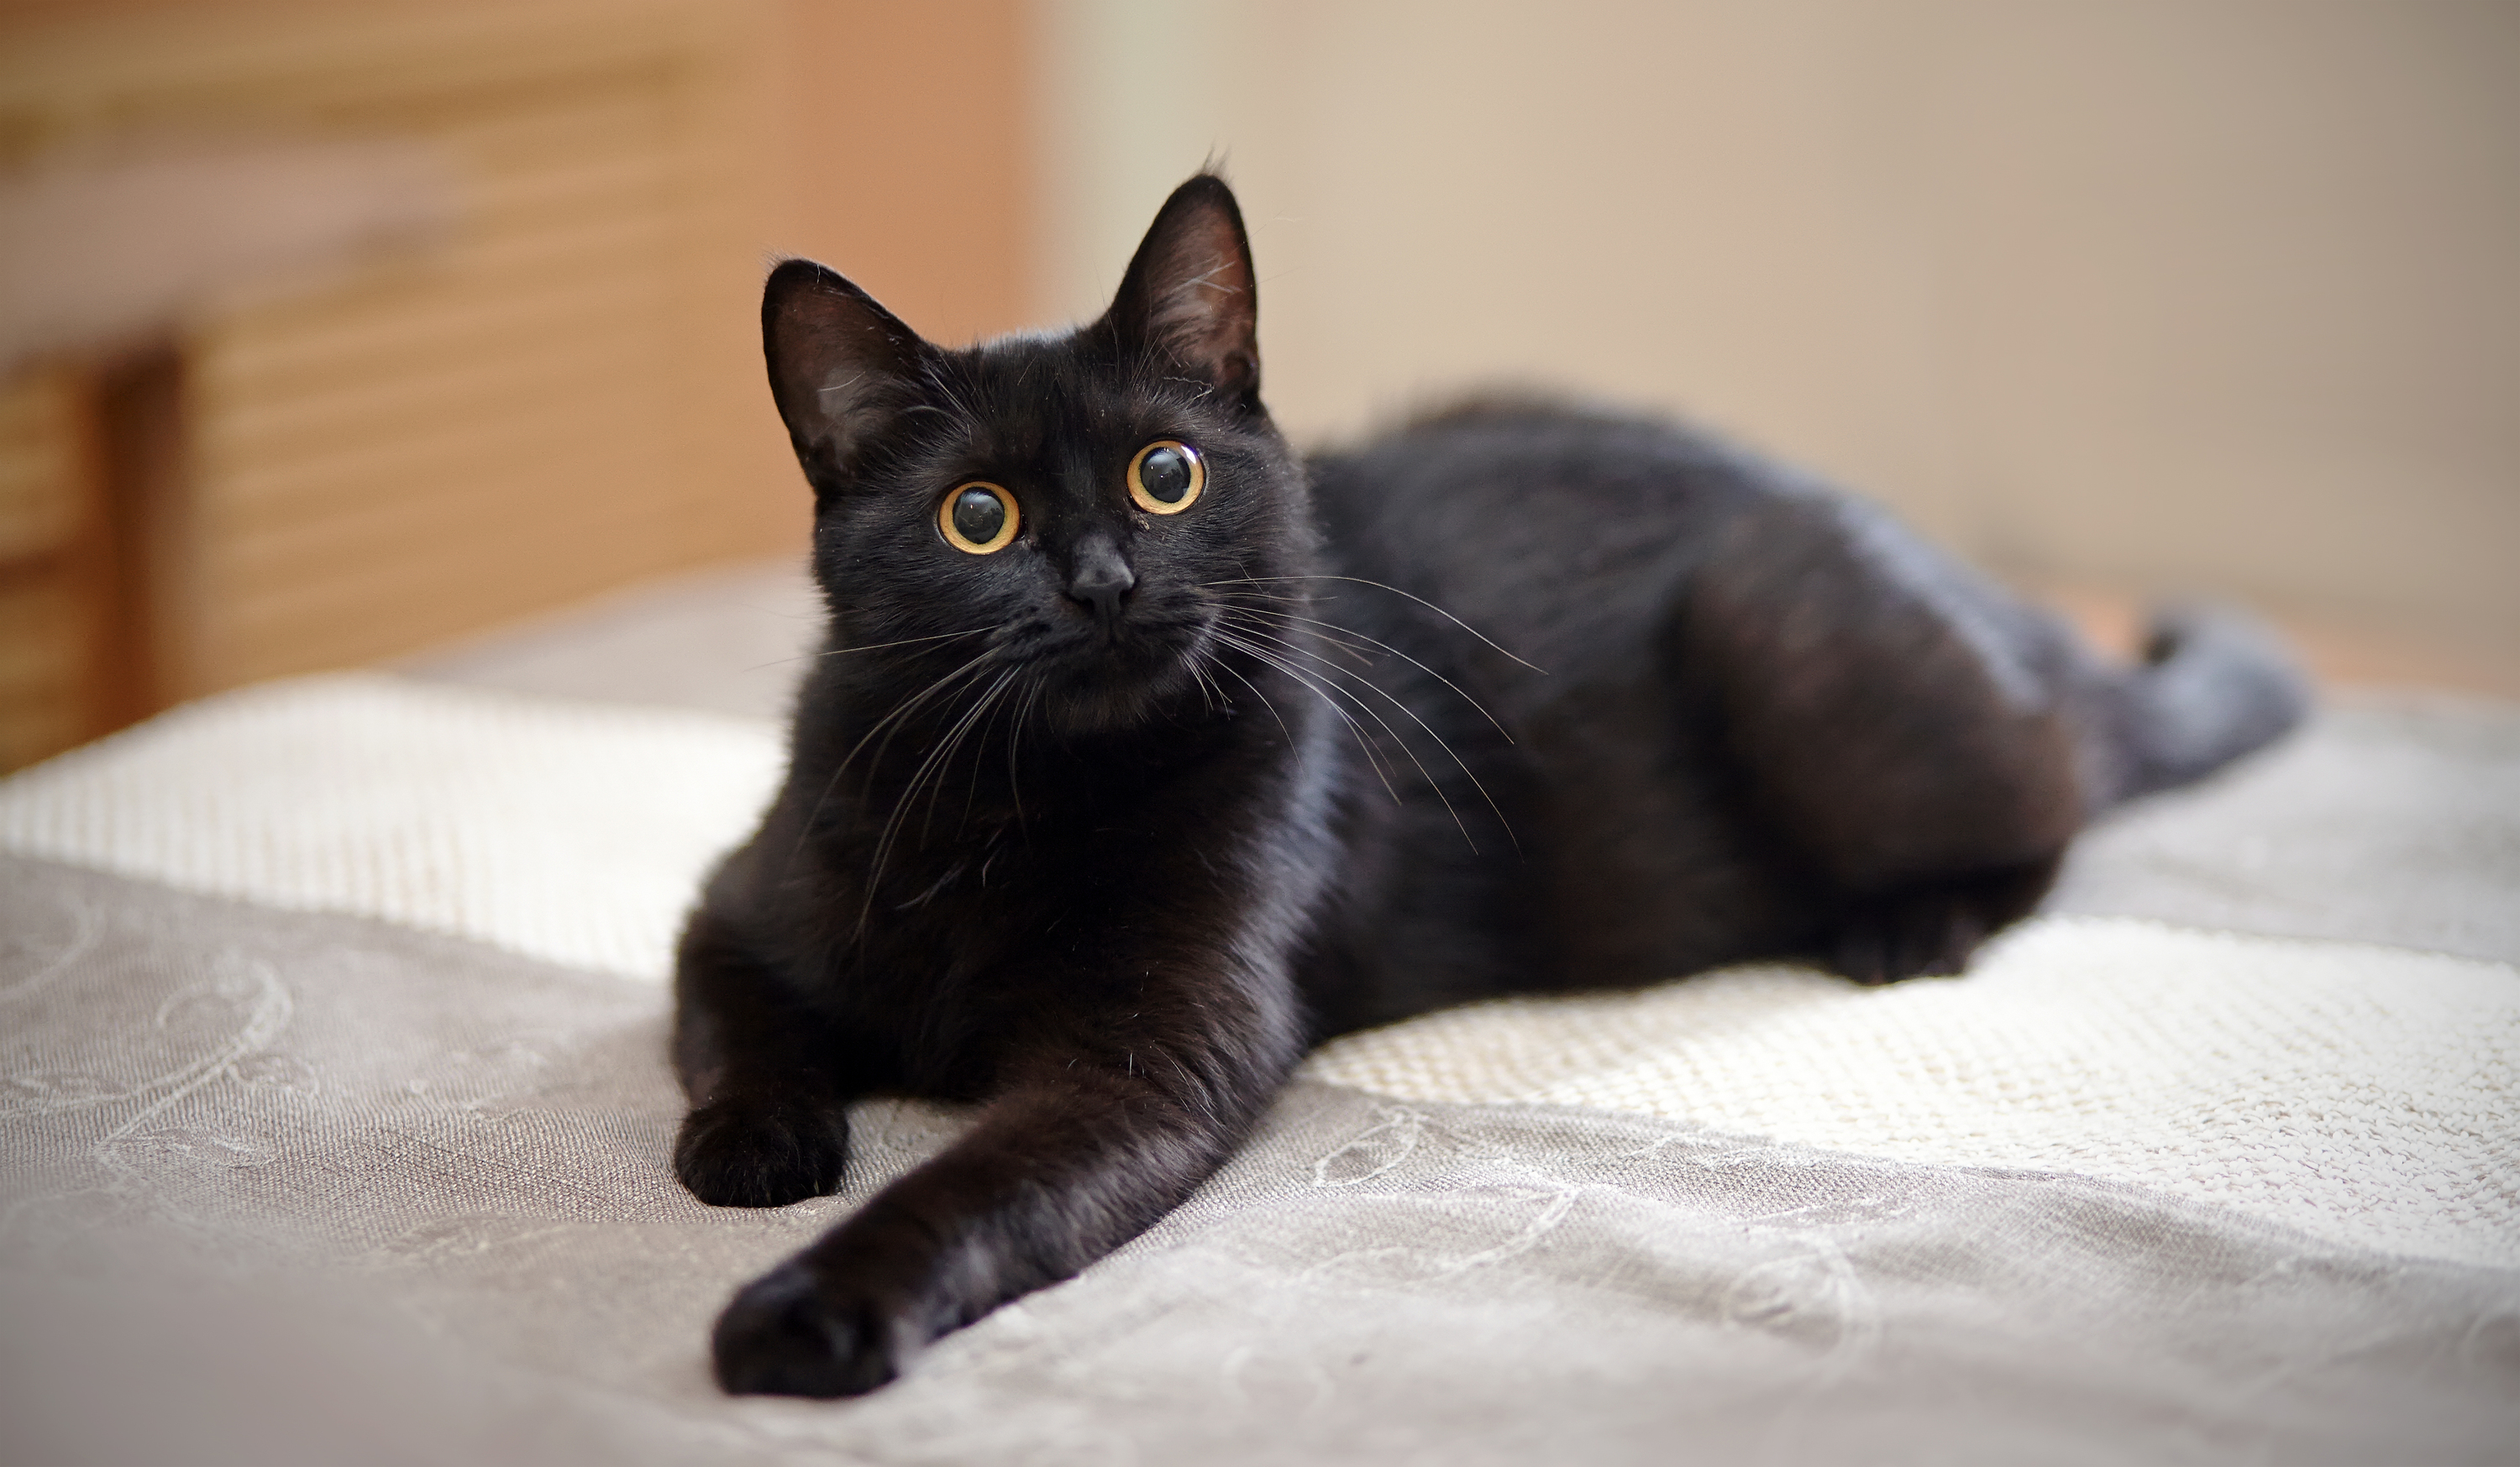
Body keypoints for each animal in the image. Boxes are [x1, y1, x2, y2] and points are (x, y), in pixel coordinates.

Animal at [665, 175, 2308, 1401]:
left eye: (1165, 476)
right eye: (978, 517)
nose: (1103, 582)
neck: (1017, 801)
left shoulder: (1141, 1064)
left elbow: (965, 1191)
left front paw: (809, 1309)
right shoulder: (732, 901)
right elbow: (734, 1014)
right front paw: (755, 1143)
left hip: (1791, 633)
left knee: (2065, 788)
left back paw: (1912, 922)